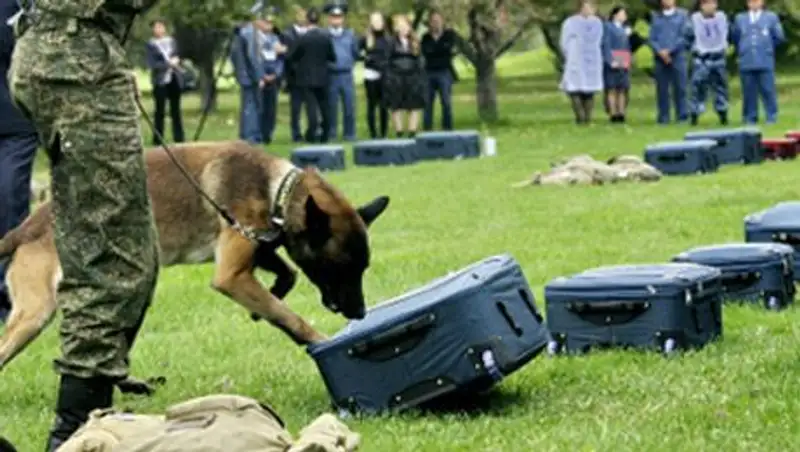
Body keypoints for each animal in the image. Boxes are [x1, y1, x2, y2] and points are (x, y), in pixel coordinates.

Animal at [0, 140, 388, 392]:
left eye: (363, 269)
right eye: (342, 268)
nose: (360, 313)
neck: (277, 190)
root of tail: (28, 226)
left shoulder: (250, 245)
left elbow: (286, 273)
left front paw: (269, 298)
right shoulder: (230, 275)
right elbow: (290, 316)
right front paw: (315, 338)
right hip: (36, 313)